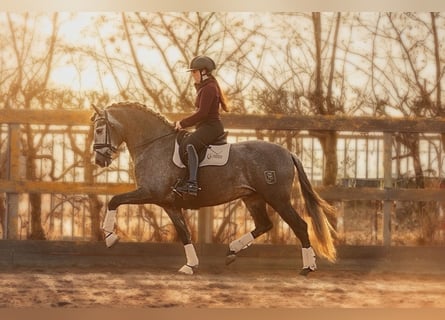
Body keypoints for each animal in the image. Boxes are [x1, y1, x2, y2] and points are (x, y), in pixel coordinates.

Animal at [91, 102, 336, 276]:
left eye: (100, 129)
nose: (99, 160)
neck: (154, 144)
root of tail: (287, 152)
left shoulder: (150, 193)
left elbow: (114, 200)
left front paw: (110, 237)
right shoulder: (169, 204)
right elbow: (184, 233)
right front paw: (190, 265)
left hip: (278, 198)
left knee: (300, 226)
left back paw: (307, 268)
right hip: (253, 198)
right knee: (264, 224)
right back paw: (232, 250)